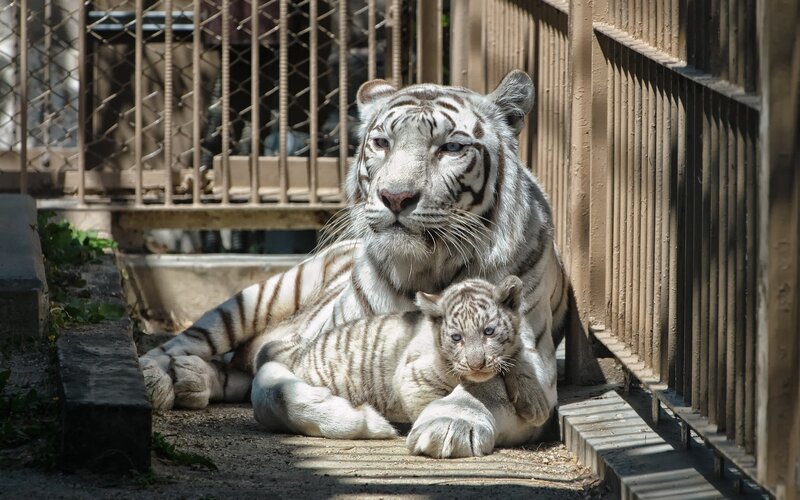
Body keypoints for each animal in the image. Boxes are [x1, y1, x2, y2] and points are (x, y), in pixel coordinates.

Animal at [251, 276, 546, 449]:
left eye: (489, 332)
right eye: (456, 337)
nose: (477, 364)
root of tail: (300, 353)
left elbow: (519, 359)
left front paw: (535, 404)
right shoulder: (413, 379)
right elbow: (429, 403)